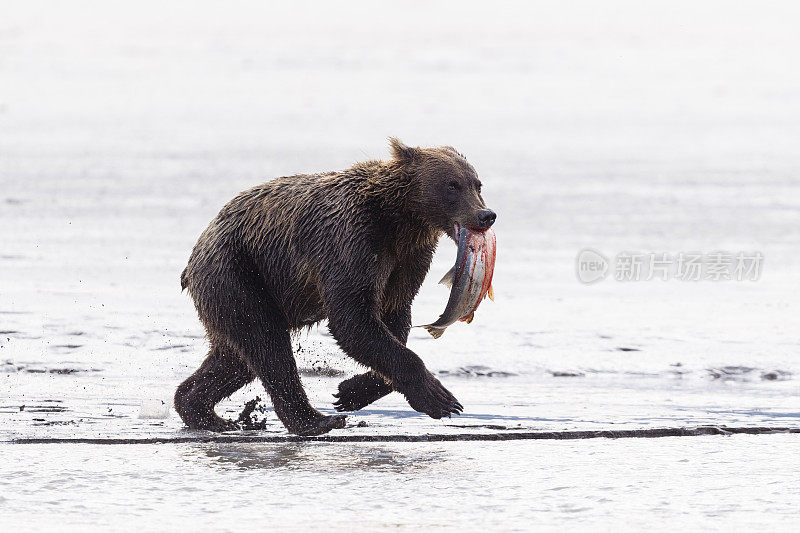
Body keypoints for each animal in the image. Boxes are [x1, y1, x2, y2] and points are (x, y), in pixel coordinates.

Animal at [177, 139, 494, 434]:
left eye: (477, 184)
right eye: (452, 185)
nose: (486, 214)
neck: (398, 220)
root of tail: (196, 253)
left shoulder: (406, 261)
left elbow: (393, 319)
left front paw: (350, 391)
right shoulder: (351, 242)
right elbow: (352, 318)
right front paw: (442, 399)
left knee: (234, 358)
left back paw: (203, 411)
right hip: (238, 272)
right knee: (267, 343)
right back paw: (314, 420)